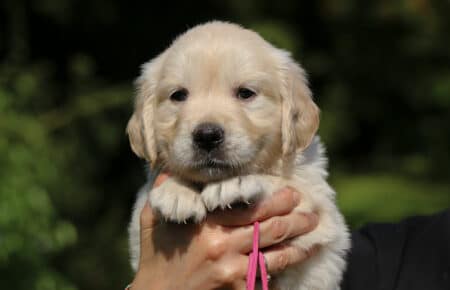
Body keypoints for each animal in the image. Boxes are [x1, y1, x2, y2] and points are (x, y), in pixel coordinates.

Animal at [126, 21, 352, 288]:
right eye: (178, 95)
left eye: (245, 93)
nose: (207, 135)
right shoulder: (137, 230)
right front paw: (176, 193)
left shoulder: (321, 218)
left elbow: (285, 183)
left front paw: (234, 183)